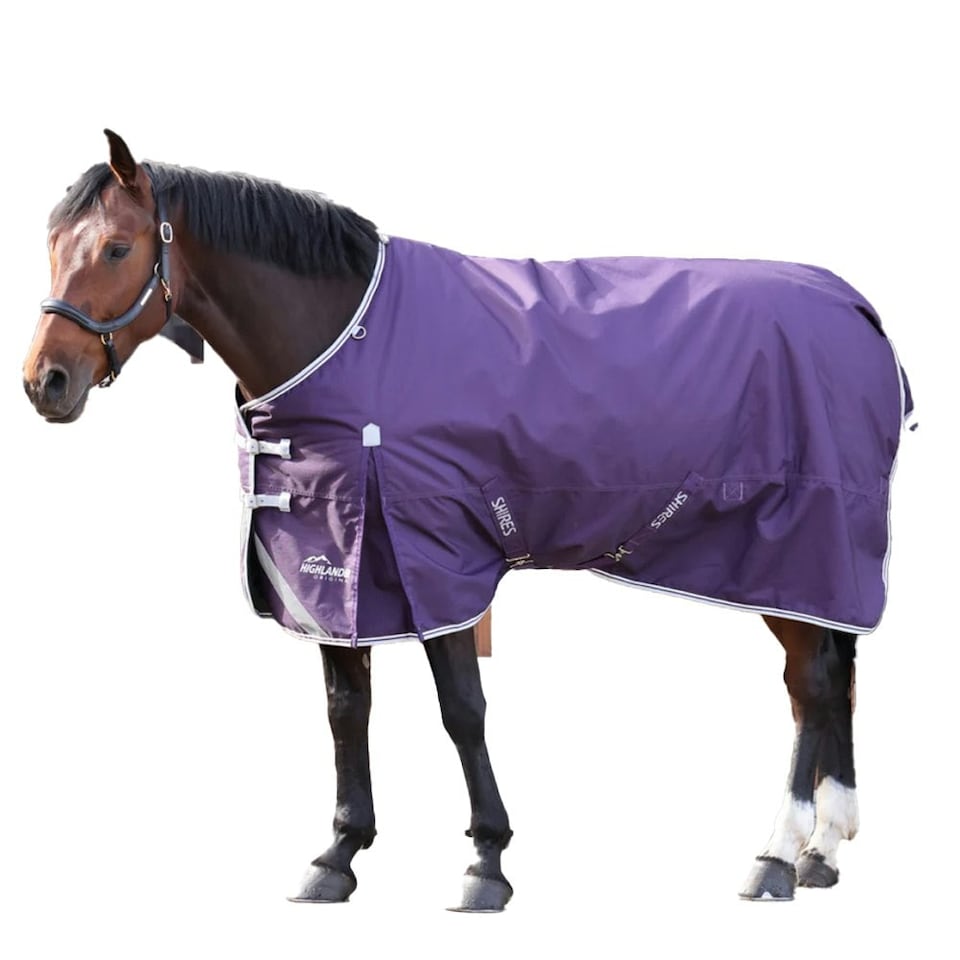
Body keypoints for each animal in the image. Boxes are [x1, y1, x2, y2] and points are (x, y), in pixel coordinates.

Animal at [22, 130, 912, 911]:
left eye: (117, 248)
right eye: (54, 243)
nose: (45, 382)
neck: (346, 339)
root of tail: (858, 311)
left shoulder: (435, 557)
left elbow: (461, 710)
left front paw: (487, 861)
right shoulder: (336, 567)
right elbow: (347, 709)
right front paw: (338, 855)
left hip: (794, 547)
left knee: (812, 683)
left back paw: (777, 855)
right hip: (802, 565)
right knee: (826, 680)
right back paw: (822, 850)